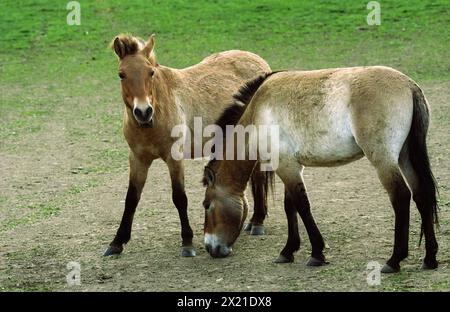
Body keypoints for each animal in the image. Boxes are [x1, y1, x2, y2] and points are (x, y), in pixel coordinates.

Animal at [104, 34, 270, 258]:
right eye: (121, 74)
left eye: (151, 72)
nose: (143, 112)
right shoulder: (137, 159)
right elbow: (131, 199)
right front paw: (117, 242)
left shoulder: (174, 159)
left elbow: (179, 198)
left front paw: (187, 243)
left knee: (259, 177)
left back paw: (258, 222)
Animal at [201, 66, 440, 272]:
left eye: (207, 205)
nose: (210, 247)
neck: (257, 111)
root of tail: (409, 85)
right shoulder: (291, 166)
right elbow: (290, 207)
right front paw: (288, 251)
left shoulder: (286, 166)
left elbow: (302, 206)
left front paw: (316, 253)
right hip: (405, 157)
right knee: (421, 195)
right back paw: (430, 258)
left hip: (384, 160)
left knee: (401, 197)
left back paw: (394, 260)